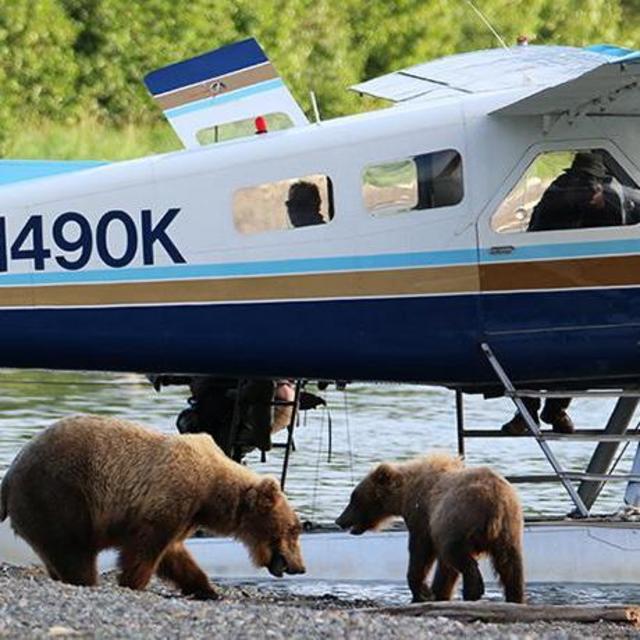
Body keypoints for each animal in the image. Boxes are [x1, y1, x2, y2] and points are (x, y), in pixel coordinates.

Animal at [0, 414, 305, 598]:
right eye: (293, 530)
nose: (300, 567)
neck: (212, 493)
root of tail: (9, 474)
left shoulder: (185, 515)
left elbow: (175, 556)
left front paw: (207, 590)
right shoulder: (170, 497)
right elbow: (144, 549)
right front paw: (132, 583)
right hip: (60, 495)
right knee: (74, 551)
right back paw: (85, 580)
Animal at [335, 452, 524, 604]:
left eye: (354, 498)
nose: (339, 520)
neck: (404, 495)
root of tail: (495, 503)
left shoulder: (423, 516)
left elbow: (420, 552)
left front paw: (423, 592)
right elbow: (444, 569)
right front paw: (437, 593)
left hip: (460, 517)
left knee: (457, 553)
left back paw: (473, 591)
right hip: (509, 529)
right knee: (511, 565)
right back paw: (515, 596)